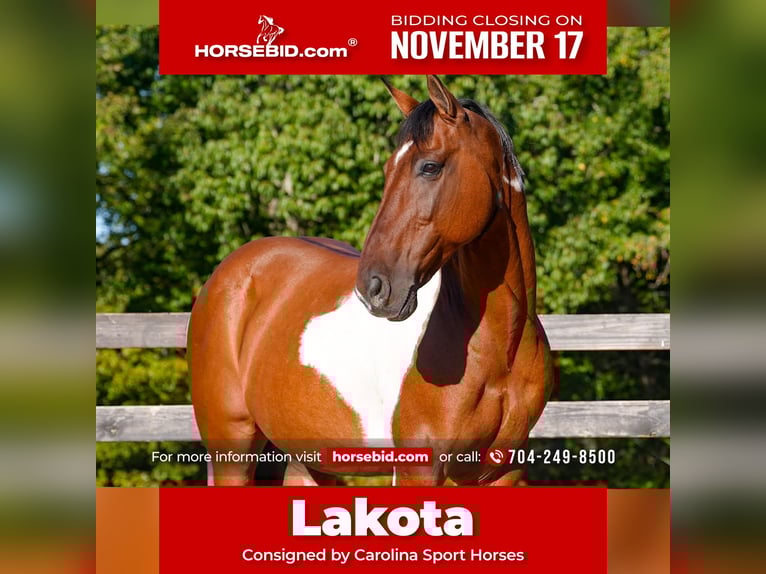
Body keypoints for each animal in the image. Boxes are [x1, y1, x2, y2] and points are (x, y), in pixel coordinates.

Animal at [189, 75, 556, 486]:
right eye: (387, 170)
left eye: (430, 166)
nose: (373, 288)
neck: (497, 349)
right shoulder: (418, 467)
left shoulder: (503, 469)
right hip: (232, 450)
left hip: (309, 459)